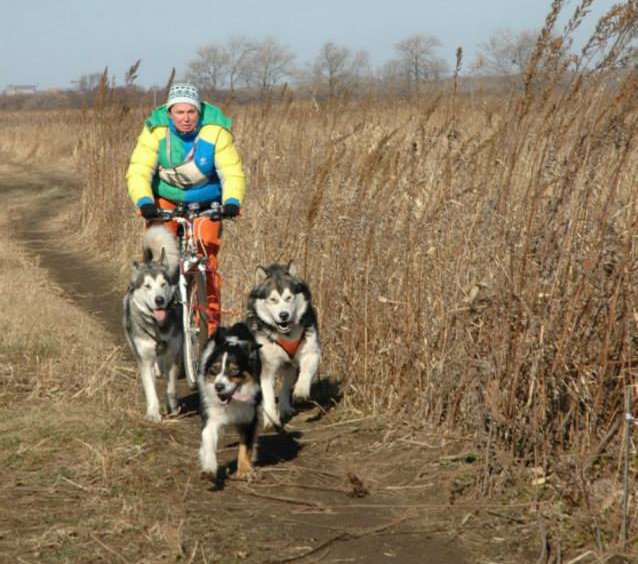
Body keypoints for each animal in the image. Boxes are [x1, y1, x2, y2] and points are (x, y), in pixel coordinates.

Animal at [124, 227, 182, 420]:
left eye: (163, 284)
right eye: (147, 286)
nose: (159, 300)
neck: (158, 326)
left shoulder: (173, 352)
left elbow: (171, 387)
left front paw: (172, 406)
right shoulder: (144, 358)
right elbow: (150, 389)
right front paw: (153, 413)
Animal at [199, 322, 262, 480]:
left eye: (234, 371)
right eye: (214, 369)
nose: (218, 387)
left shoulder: (249, 416)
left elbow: (246, 445)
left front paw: (245, 469)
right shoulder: (210, 415)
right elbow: (208, 439)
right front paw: (209, 467)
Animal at [248, 262, 322, 430]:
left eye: (289, 298)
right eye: (273, 299)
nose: (284, 315)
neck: (286, 334)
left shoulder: (311, 351)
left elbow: (306, 371)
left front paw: (301, 390)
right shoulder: (266, 366)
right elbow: (268, 394)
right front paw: (271, 418)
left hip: (290, 364)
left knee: (286, 385)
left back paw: (284, 407)